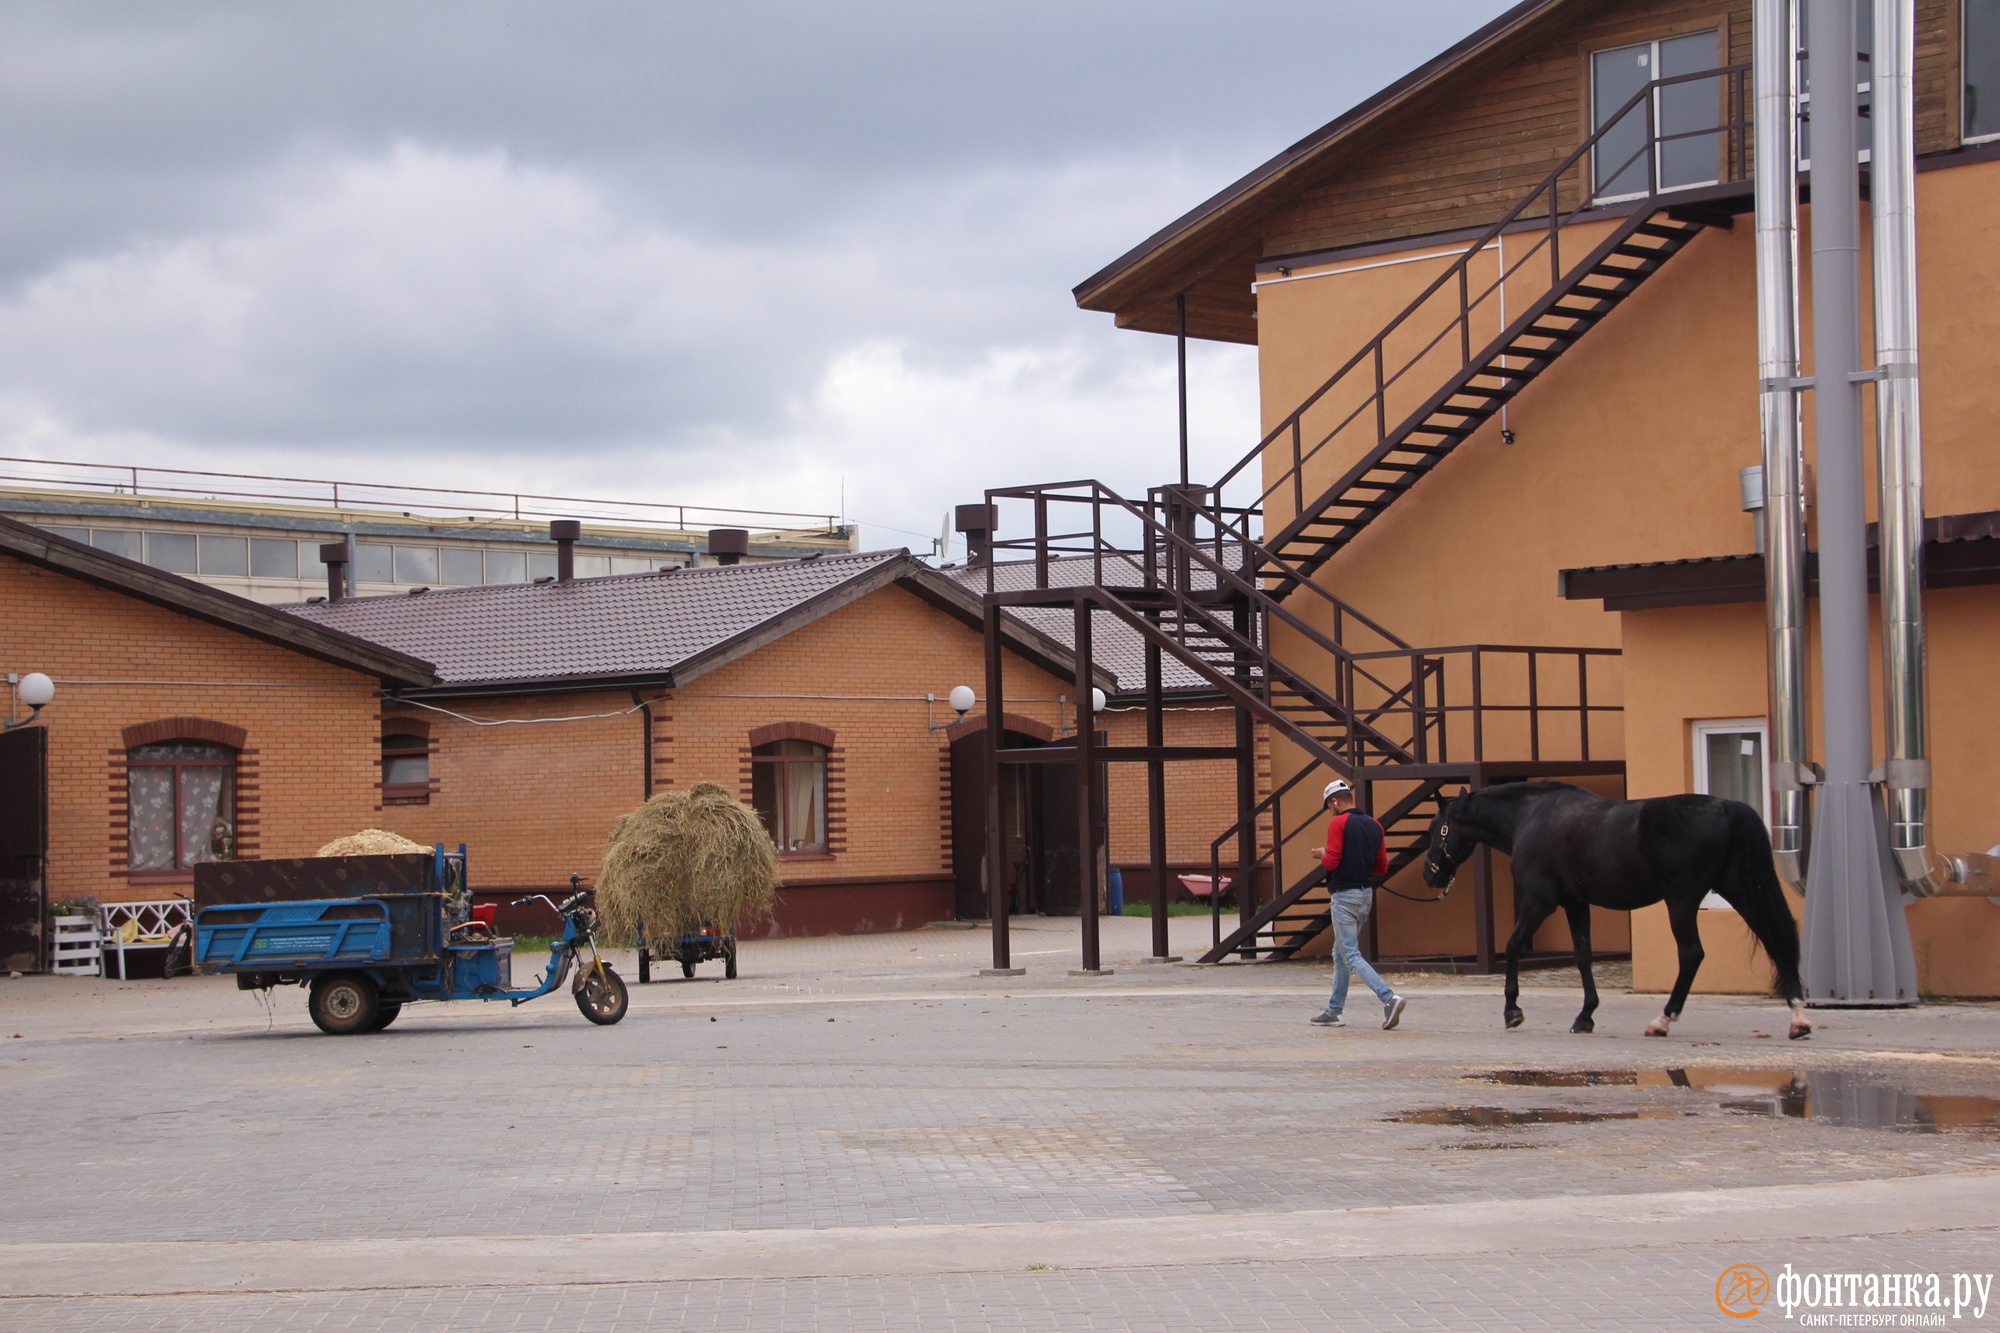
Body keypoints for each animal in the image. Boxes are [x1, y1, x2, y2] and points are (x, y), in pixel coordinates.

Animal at [1424, 780, 1816, 1040]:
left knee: (1692, 953)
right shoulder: (1575, 904)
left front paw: (1512, 1010)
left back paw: (1662, 1020)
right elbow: (1583, 957)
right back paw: (1797, 1018)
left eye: (1435, 829)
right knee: (1775, 939)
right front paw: (1585, 1015)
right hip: (1740, 890)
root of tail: (1726, 806)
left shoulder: (1539, 902)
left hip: (1683, 900)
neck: (1530, 817)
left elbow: (1513, 946)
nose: (1430, 875)